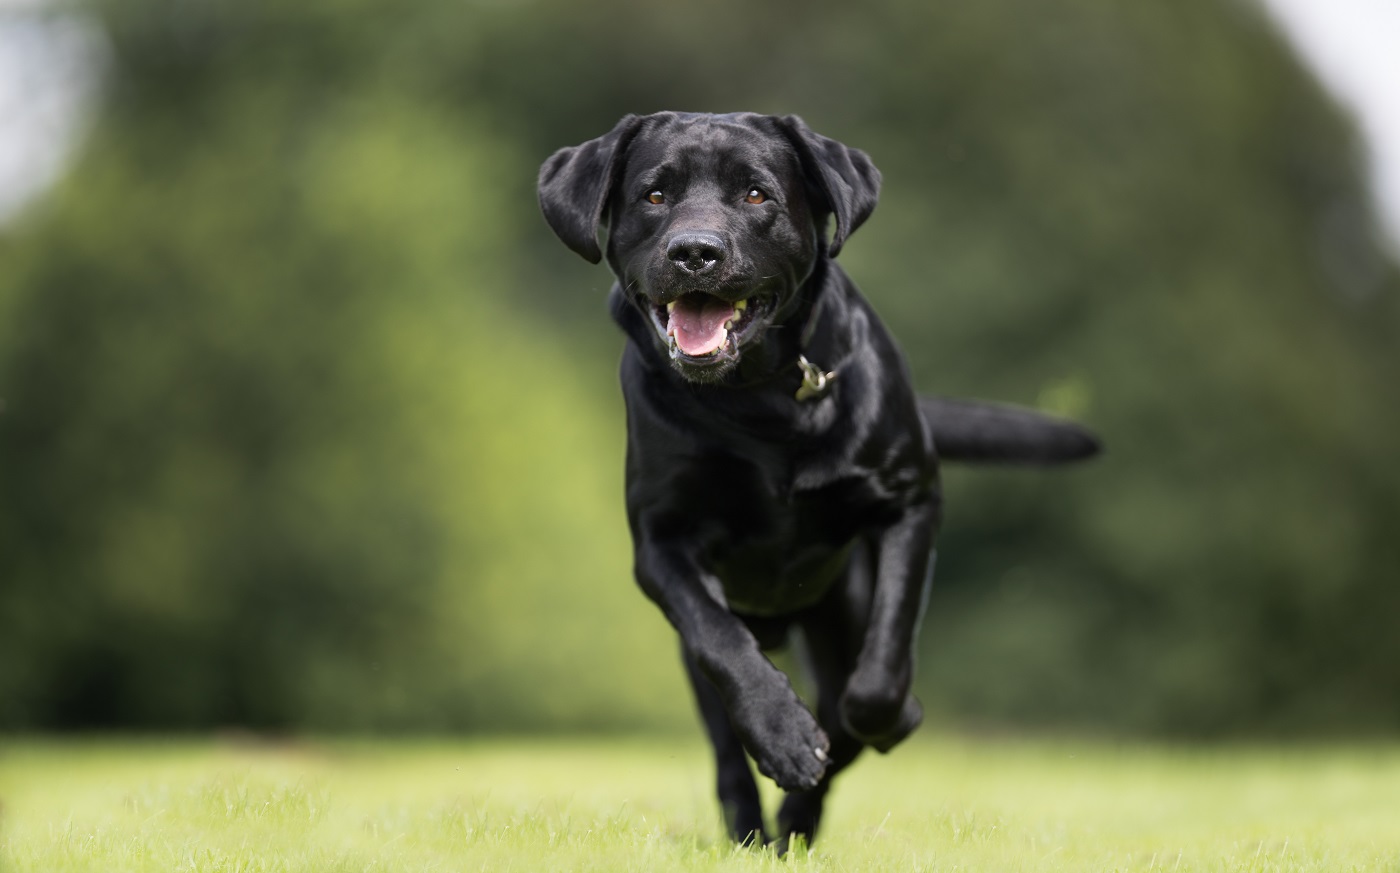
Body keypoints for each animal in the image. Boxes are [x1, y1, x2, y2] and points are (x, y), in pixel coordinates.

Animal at [540, 112, 1097, 850]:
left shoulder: (908, 500)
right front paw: (784, 735)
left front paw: (880, 718)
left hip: (839, 608)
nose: (695, 252)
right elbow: (722, 641)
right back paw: (758, 826)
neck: (761, 400)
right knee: (729, 752)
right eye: (654, 195)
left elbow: (882, 664)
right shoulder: (661, 544)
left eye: (756, 194)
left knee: (845, 702)